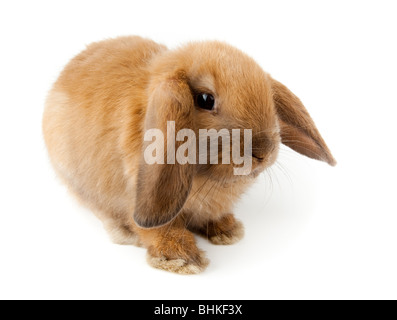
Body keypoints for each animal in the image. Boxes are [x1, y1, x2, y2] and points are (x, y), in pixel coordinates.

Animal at [42, 36, 334, 274]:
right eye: (205, 99)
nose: (263, 152)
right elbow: (159, 229)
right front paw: (182, 259)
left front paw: (227, 230)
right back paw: (122, 231)